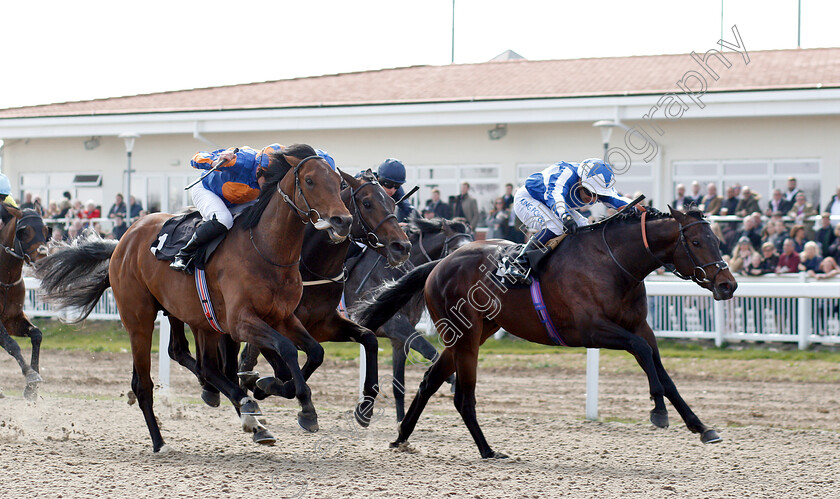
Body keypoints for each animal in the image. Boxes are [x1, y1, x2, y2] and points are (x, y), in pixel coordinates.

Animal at [0, 205, 50, 400]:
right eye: (24, 231)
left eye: (46, 230)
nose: (43, 258)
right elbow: (11, 345)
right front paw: (30, 375)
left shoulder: (12, 320)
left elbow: (36, 334)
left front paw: (31, 389)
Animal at [35, 145, 352, 454]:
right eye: (309, 181)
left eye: (338, 182)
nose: (343, 221)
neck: (266, 250)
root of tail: (122, 241)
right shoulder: (240, 322)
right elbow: (286, 350)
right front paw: (303, 407)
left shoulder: (281, 316)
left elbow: (313, 352)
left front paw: (277, 390)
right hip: (140, 320)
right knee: (145, 383)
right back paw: (160, 441)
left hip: (190, 314)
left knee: (199, 362)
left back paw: (248, 415)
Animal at [354, 207, 736, 460]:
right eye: (697, 241)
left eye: (717, 240)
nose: (728, 285)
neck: (613, 263)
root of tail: (439, 263)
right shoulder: (592, 330)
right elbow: (642, 352)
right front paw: (658, 411)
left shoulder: (640, 325)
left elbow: (662, 371)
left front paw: (702, 427)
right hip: (466, 335)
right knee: (462, 395)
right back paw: (488, 450)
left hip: (475, 332)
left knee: (430, 380)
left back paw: (402, 437)